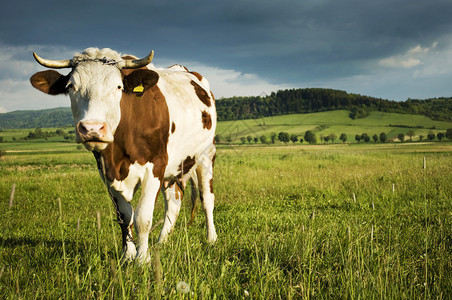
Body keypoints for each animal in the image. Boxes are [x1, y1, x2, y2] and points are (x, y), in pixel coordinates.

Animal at [30, 47, 217, 262]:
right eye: (70, 87)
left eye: (118, 86)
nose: (92, 128)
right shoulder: (106, 172)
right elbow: (125, 216)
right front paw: (128, 255)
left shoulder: (155, 167)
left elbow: (142, 216)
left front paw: (142, 259)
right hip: (175, 167)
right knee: (173, 201)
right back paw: (162, 242)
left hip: (206, 156)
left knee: (206, 198)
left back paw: (211, 238)